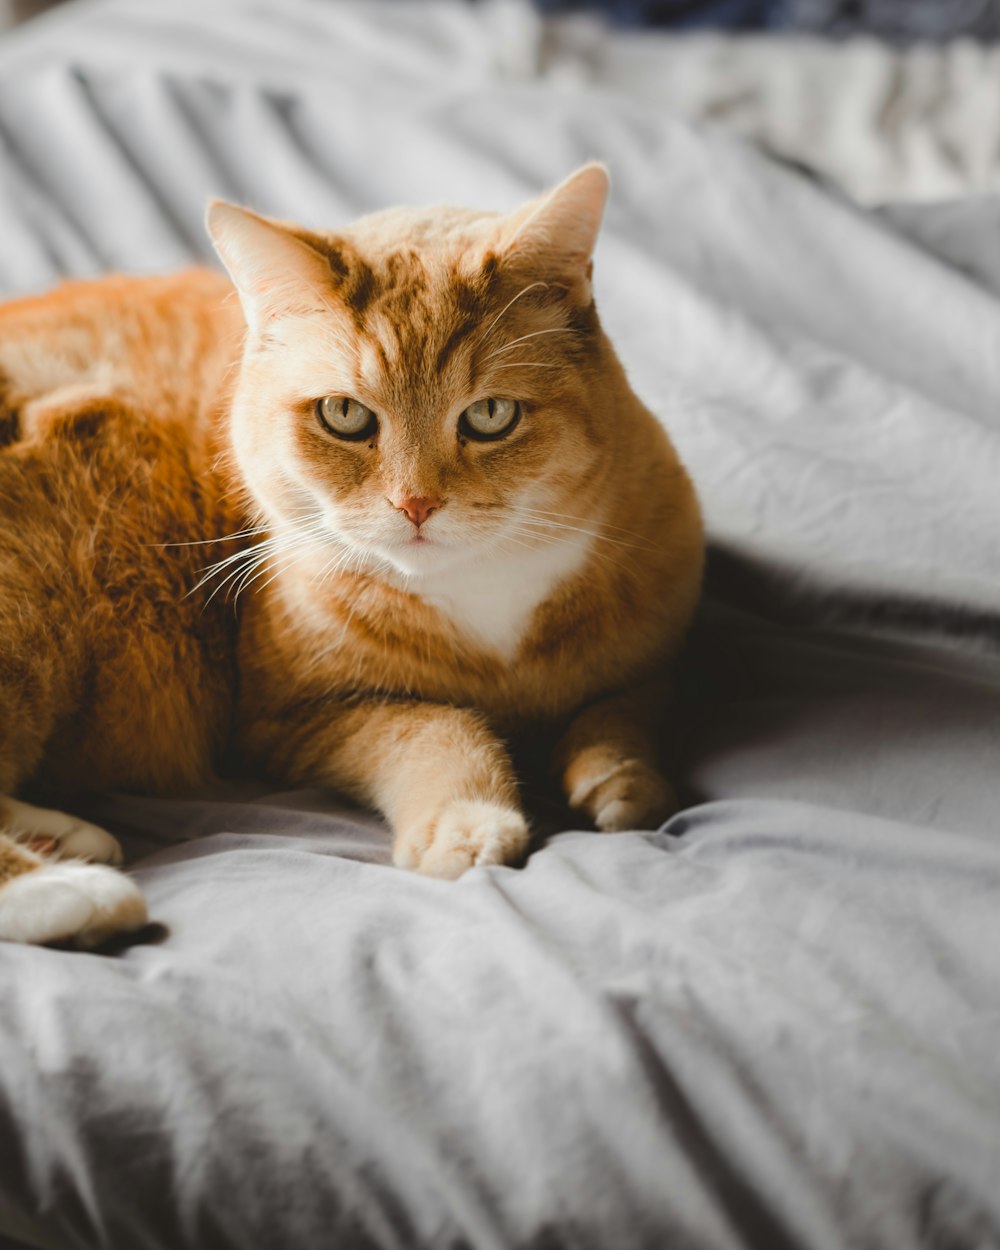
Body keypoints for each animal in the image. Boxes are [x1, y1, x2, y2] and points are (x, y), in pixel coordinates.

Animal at [0, 166, 705, 945]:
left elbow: (629, 707)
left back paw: (66, 836)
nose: (416, 504)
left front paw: (622, 779)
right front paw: (467, 824)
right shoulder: (295, 721)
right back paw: (74, 889)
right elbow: (436, 726)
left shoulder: (658, 649)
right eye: (344, 415)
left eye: (491, 415)